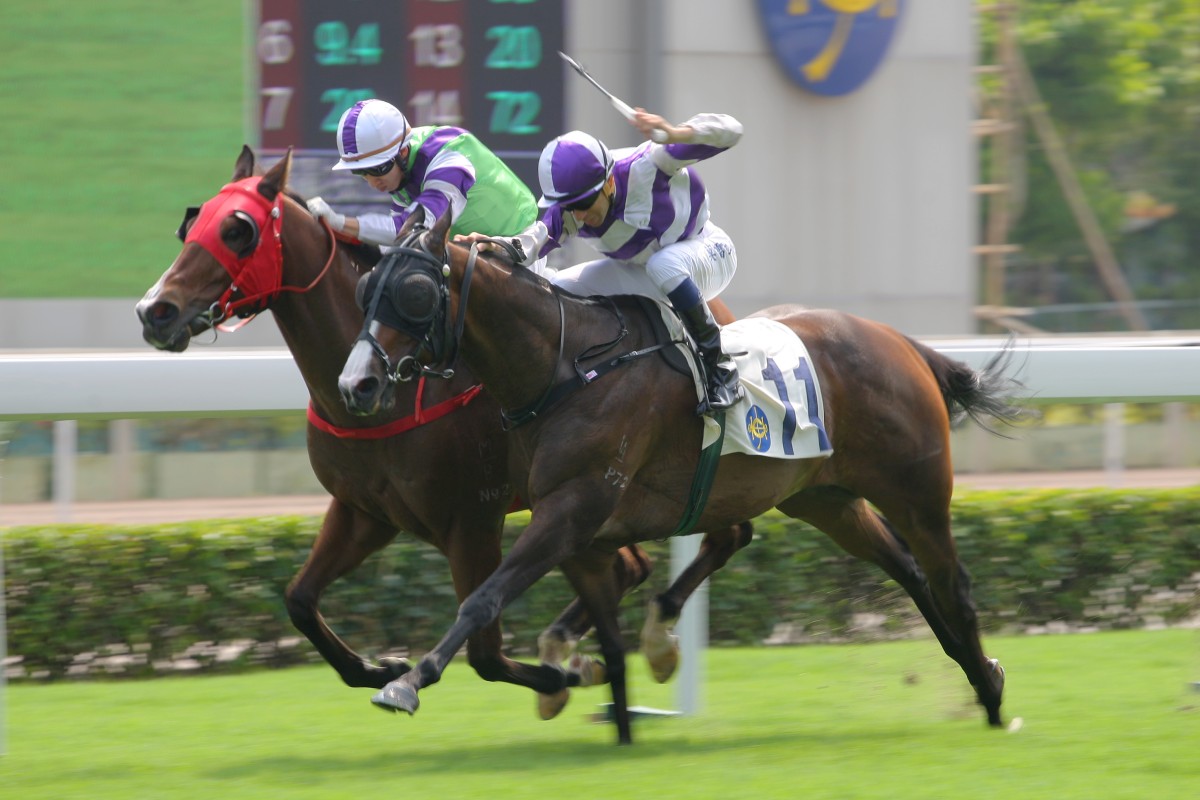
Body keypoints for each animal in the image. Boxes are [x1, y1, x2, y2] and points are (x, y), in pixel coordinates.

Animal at [131, 148, 748, 719]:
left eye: (238, 230)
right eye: (191, 225)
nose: (154, 311)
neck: (389, 395)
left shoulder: (471, 521)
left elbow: (486, 652)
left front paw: (564, 677)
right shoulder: (365, 512)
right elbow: (299, 600)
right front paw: (379, 665)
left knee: (706, 540)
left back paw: (639, 644)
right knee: (640, 563)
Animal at [336, 208, 1022, 743]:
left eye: (416, 292)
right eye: (366, 287)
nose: (356, 384)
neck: (565, 365)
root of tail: (905, 344)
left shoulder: (573, 507)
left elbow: (482, 599)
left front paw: (405, 681)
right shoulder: (579, 532)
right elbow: (608, 643)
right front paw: (605, 710)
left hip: (916, 491)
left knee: (953, 583)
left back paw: (992, 699)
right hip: (824, 498)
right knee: (907, 570)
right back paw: (983, 675)